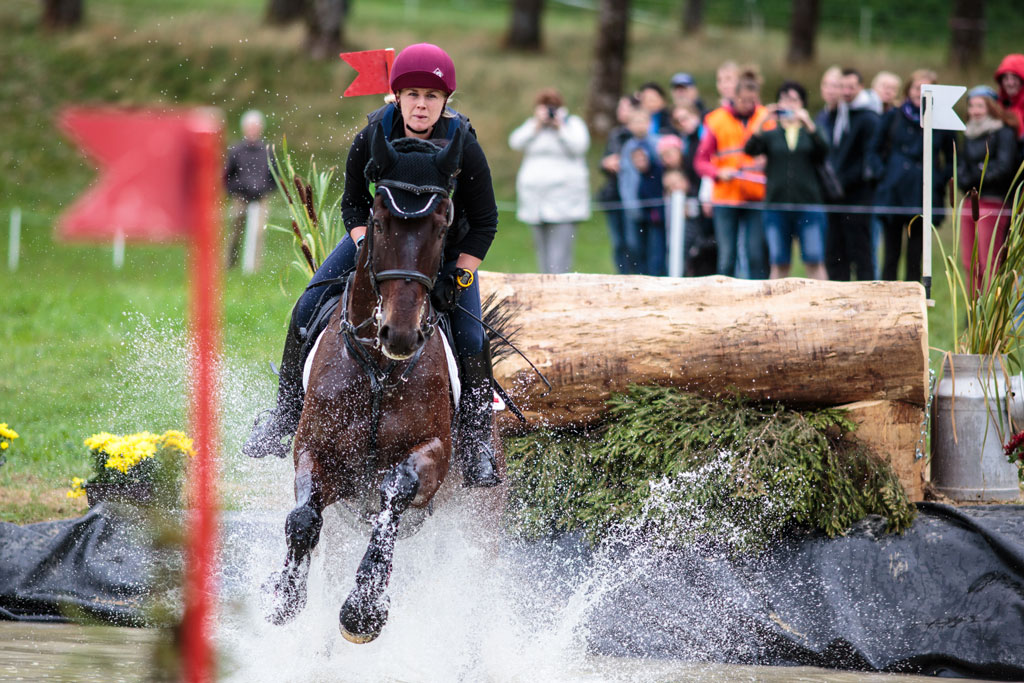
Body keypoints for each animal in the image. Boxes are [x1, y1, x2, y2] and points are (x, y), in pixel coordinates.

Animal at [264, 121, 503, 643]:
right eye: (378, 218)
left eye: (442, 223)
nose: (400, 332)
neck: (378, 365)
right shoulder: (315, 449)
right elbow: (303, 517)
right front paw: (284, 597)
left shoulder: (432, 454)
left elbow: (394, 498)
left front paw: (363, 611)